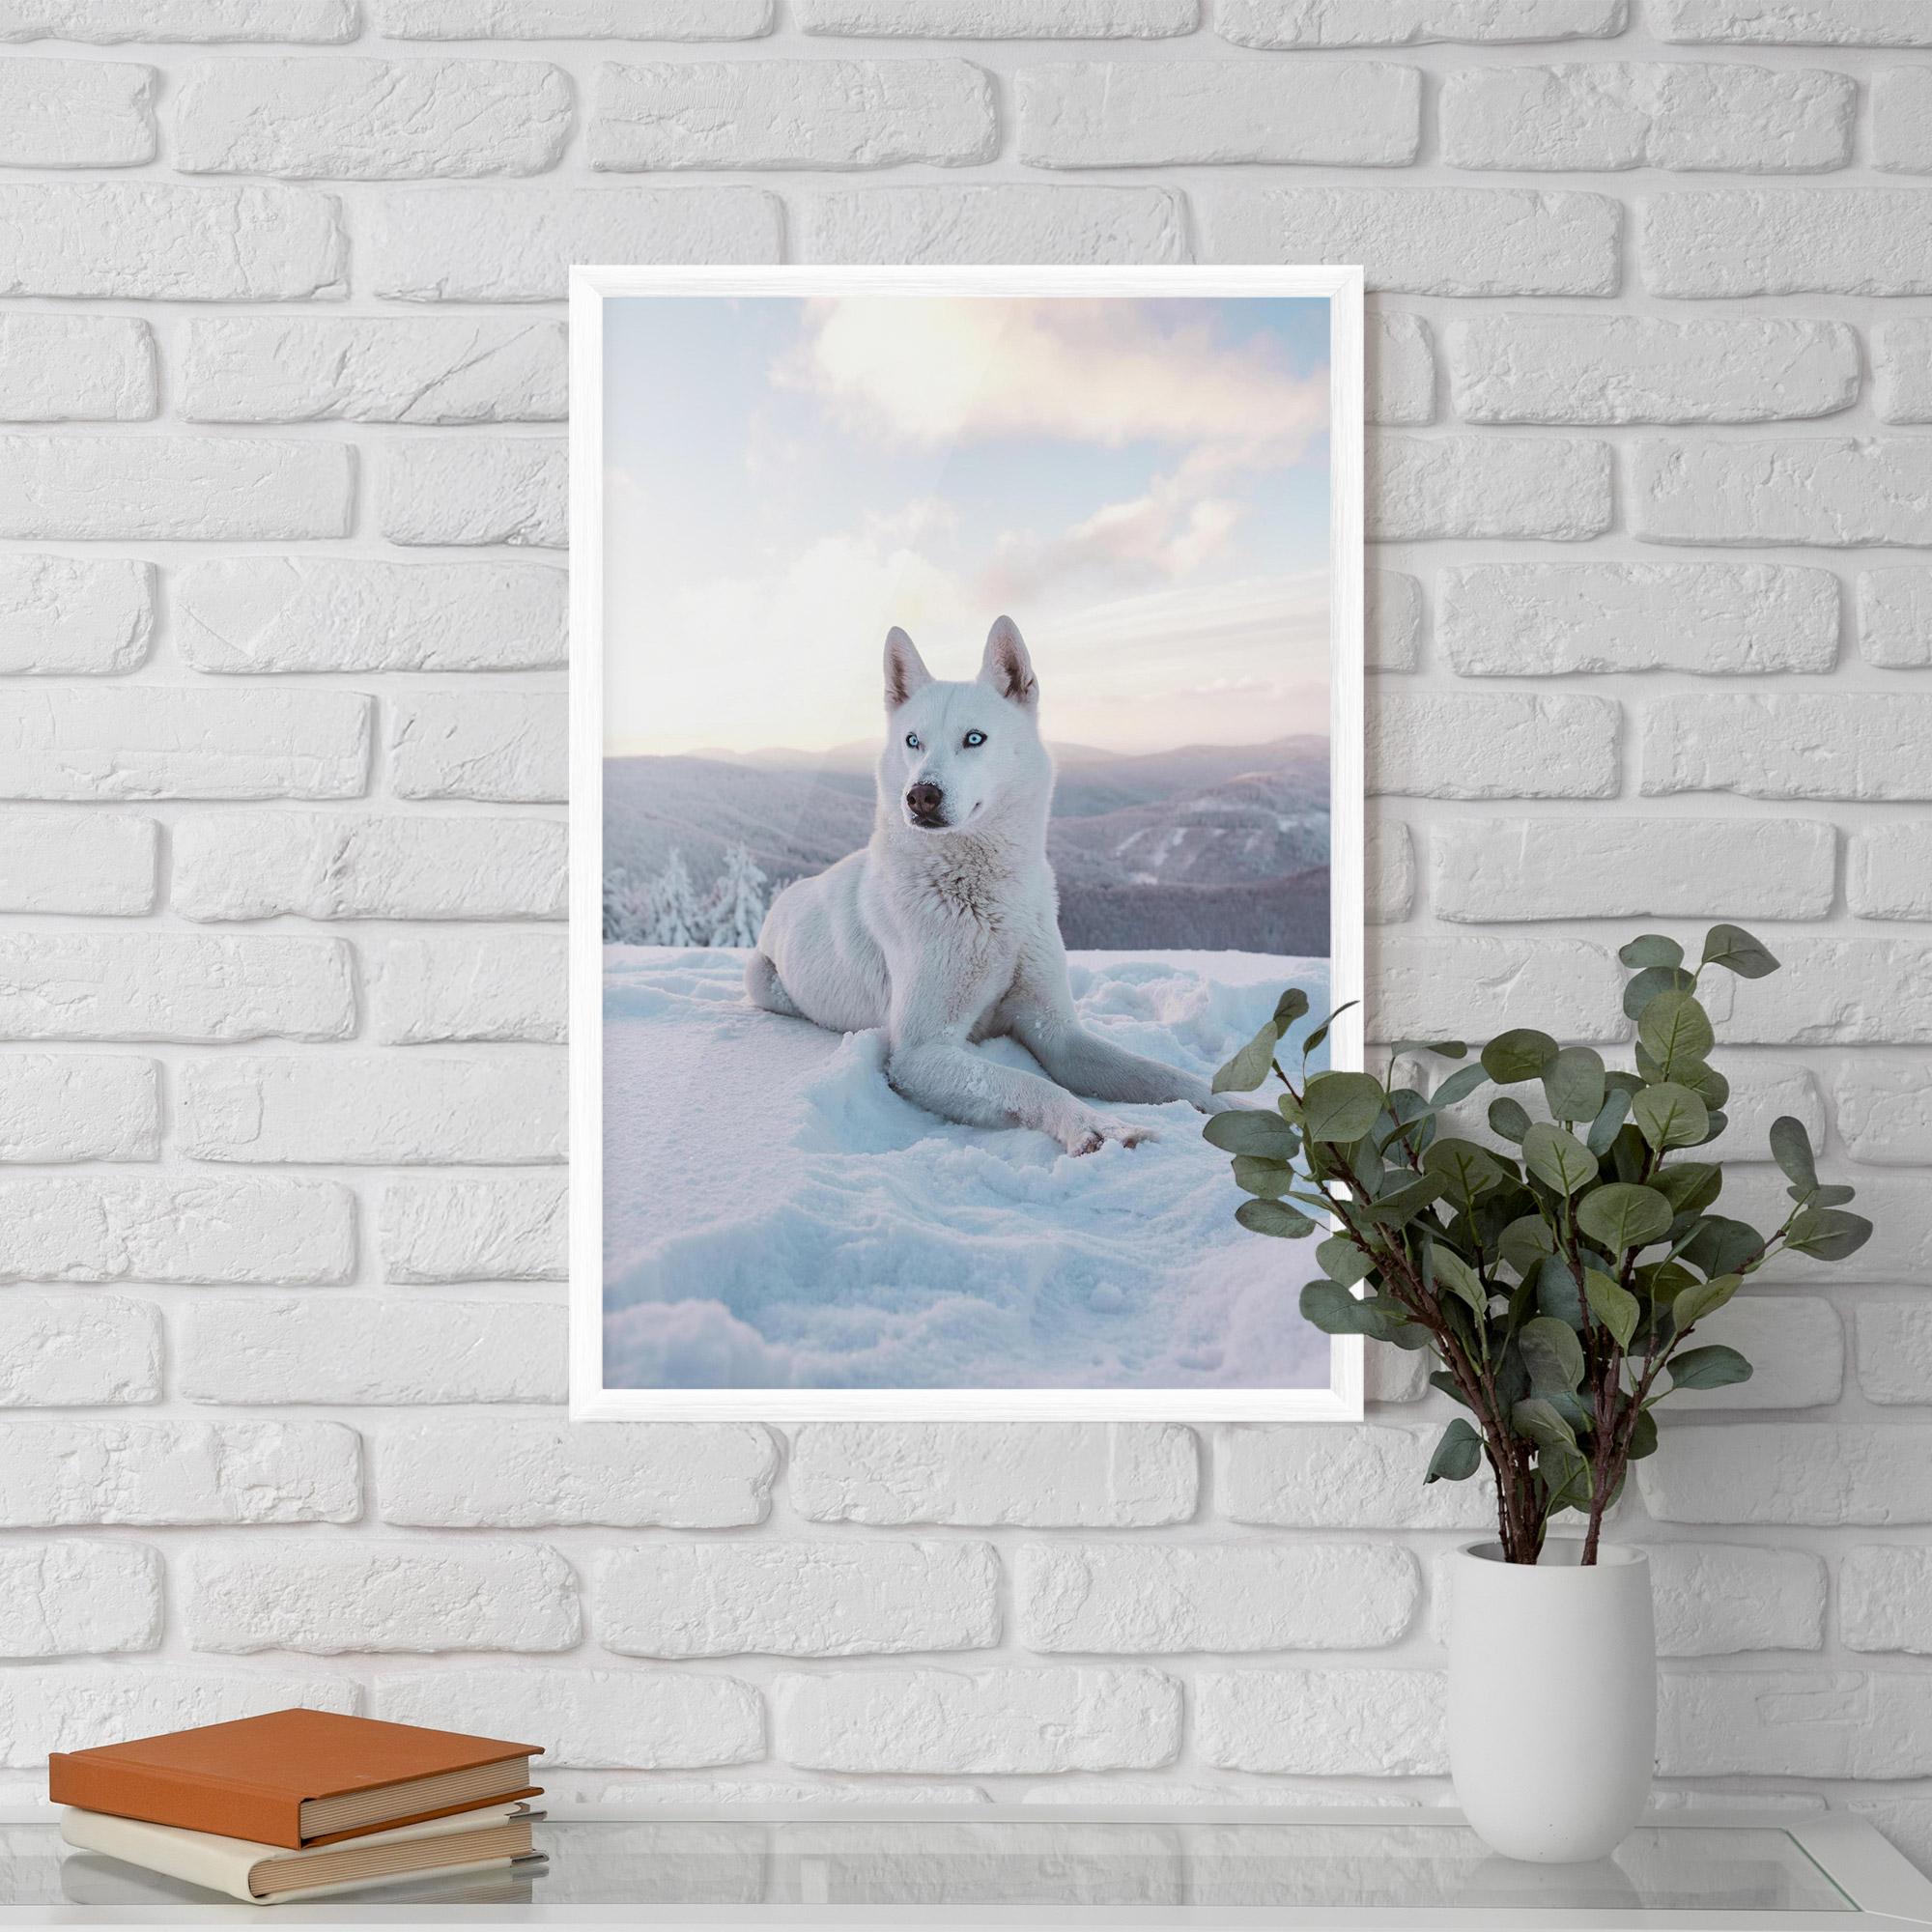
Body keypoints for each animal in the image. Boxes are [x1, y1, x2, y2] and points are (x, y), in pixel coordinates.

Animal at [744, 616, 1222, 1154]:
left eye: (974, 738)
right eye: (913, 740)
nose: (920, 795)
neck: (984, 900)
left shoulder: (1058, 1033)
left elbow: (1158, 1074)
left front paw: (1231, 1104)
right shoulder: (920, 1053)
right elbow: (1031, 1083)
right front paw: (1099, 1127)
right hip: (762, 980)